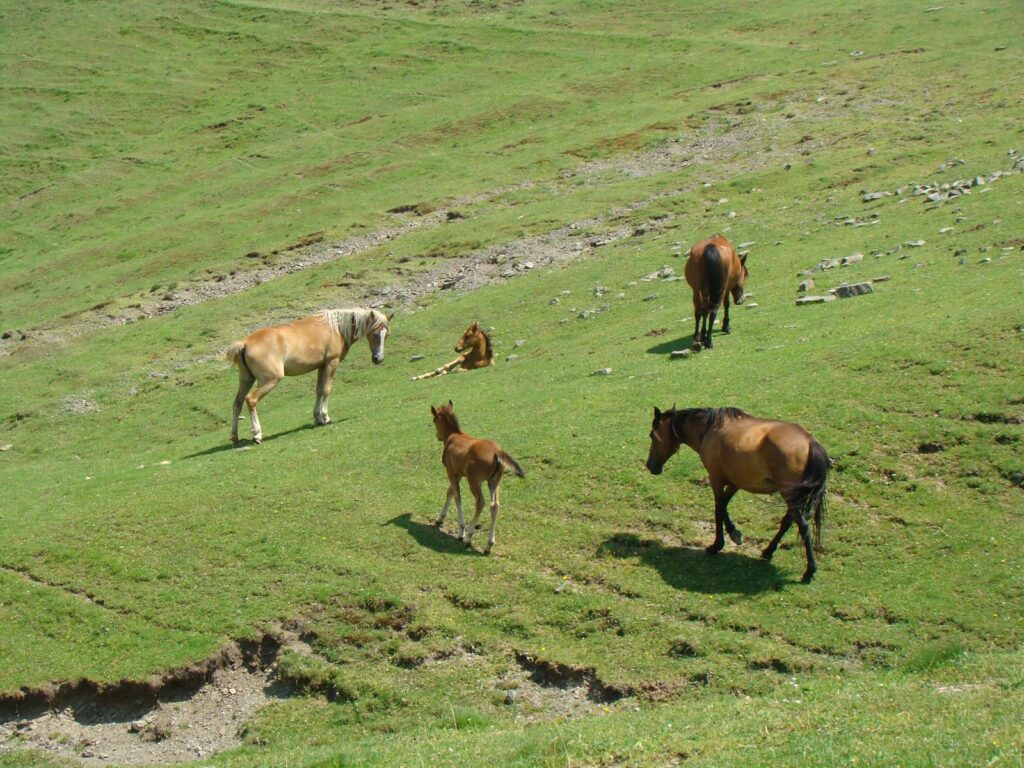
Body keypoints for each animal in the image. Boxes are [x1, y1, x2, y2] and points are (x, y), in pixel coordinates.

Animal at [224, 308, 393, 444]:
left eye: (387, 335)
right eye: (375, 333)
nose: (378, 359)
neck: (336, 328)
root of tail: (245, 343)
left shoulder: (321, 366)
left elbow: (319, 390)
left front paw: (317, 417)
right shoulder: (331, 363)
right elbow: (326, 389)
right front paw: (326, 417)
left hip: (246, 380)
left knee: (237, 403)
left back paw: (235, 438)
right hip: (270, 380)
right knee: (251, 400)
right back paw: (257, 434)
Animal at [431, 400, 524, 554]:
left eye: (434, 420)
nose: (437, 436)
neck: (453, 435)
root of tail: (496, 451)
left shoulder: (451, 471)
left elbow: (457, 496)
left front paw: (461, 531)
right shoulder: (458, 473)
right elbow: (450, 492)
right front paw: (440, 518)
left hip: (474, 481)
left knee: (480, 502)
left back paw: (469, 536)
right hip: (494, 481)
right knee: (494, 505)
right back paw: (489, 545)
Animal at [645, 406, 829, 583]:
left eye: (652, 435)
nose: (650, 466)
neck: (709, 429)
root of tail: (811, 443)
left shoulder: (716, 479)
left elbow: (718, 509)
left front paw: (717, 545)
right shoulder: (735, 482)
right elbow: (724, 506)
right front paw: (734, 534)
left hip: (790, 495)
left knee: (803, 526)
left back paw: (810, 571)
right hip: (795, 498)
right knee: (787, 522)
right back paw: (768, 551)